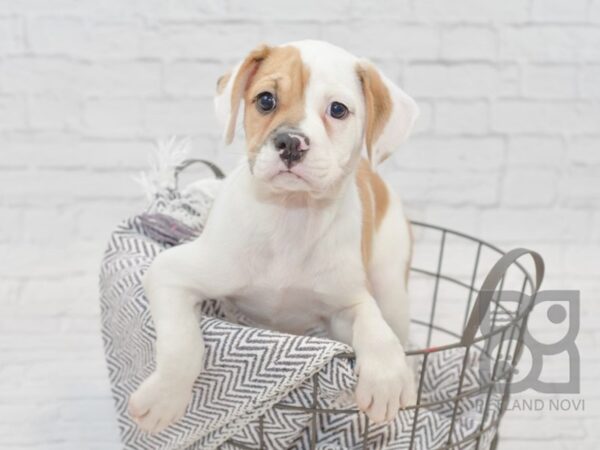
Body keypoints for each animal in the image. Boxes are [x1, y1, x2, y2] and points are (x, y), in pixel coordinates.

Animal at [127, 40, 418, 434]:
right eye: (265, 100)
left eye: (338, 110)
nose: (290, 142)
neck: (290, 216)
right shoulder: (171, 272)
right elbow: (182, 343)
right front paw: (165, 399)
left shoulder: (346, 303)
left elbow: (372, 323)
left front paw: (387, 378)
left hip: (391, 286)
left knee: (395, 327)